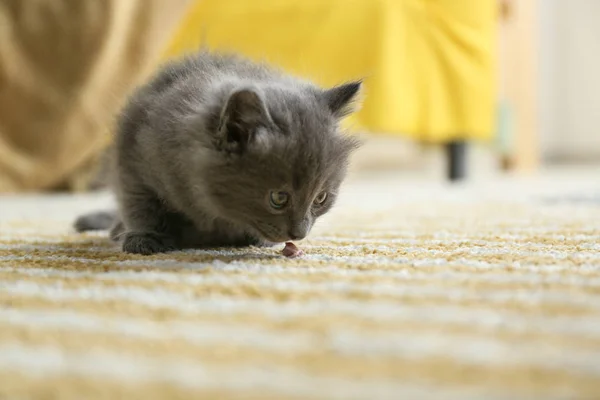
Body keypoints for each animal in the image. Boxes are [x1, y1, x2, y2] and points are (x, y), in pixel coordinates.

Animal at [75, 50, 360, 256]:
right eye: (279, 198)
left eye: (321, 198)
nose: (299, 234)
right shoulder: (132, 155)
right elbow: (139, 204)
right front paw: (145, 238)